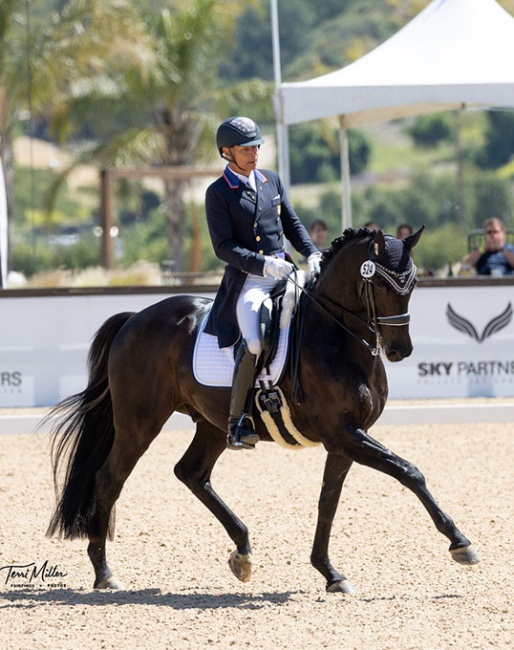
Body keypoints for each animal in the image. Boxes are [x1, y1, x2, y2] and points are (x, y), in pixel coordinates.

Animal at [46, 228, 478, 592]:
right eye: (380, 283)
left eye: (412, 283)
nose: (400, 350)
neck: (336, 338)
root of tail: (133, 318)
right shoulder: (344, 433)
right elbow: (409, 472)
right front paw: (460, 543)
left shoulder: (345, 439)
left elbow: (328, 501)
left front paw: (329, 572)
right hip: (140, 422)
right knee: (109, 480)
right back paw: (104, 572)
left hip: (211, 424)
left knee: (191, 473)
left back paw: (242, 552)